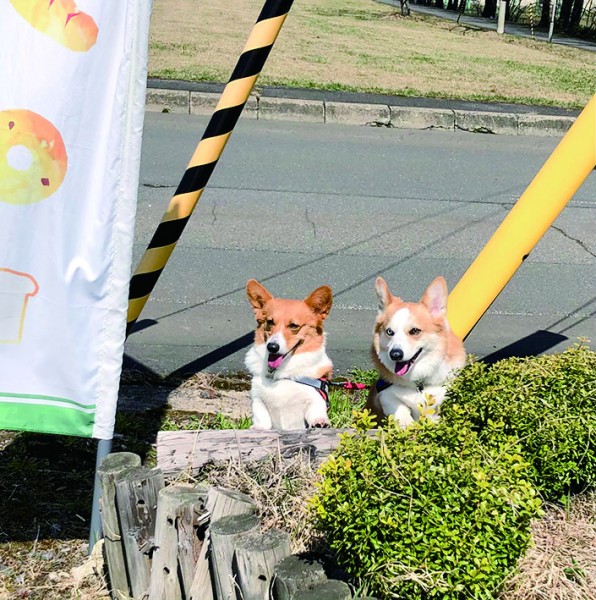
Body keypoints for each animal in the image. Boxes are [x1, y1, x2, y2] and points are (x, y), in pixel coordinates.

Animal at [243, 278, 336, 428]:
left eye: (293, 326)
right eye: (270, 322)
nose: (272, 347)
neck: (283, 373)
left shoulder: (315, 396)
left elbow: (316, 409)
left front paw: (320, 422)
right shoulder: (257, 398)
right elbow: (261, 418)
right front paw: (257, 427)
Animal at [368, 276, 466, 426]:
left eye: (415, 331)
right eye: (389, 332)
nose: (395, 354)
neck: (418, 383)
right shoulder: (384, 393)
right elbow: (399, 407)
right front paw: (406, 423)